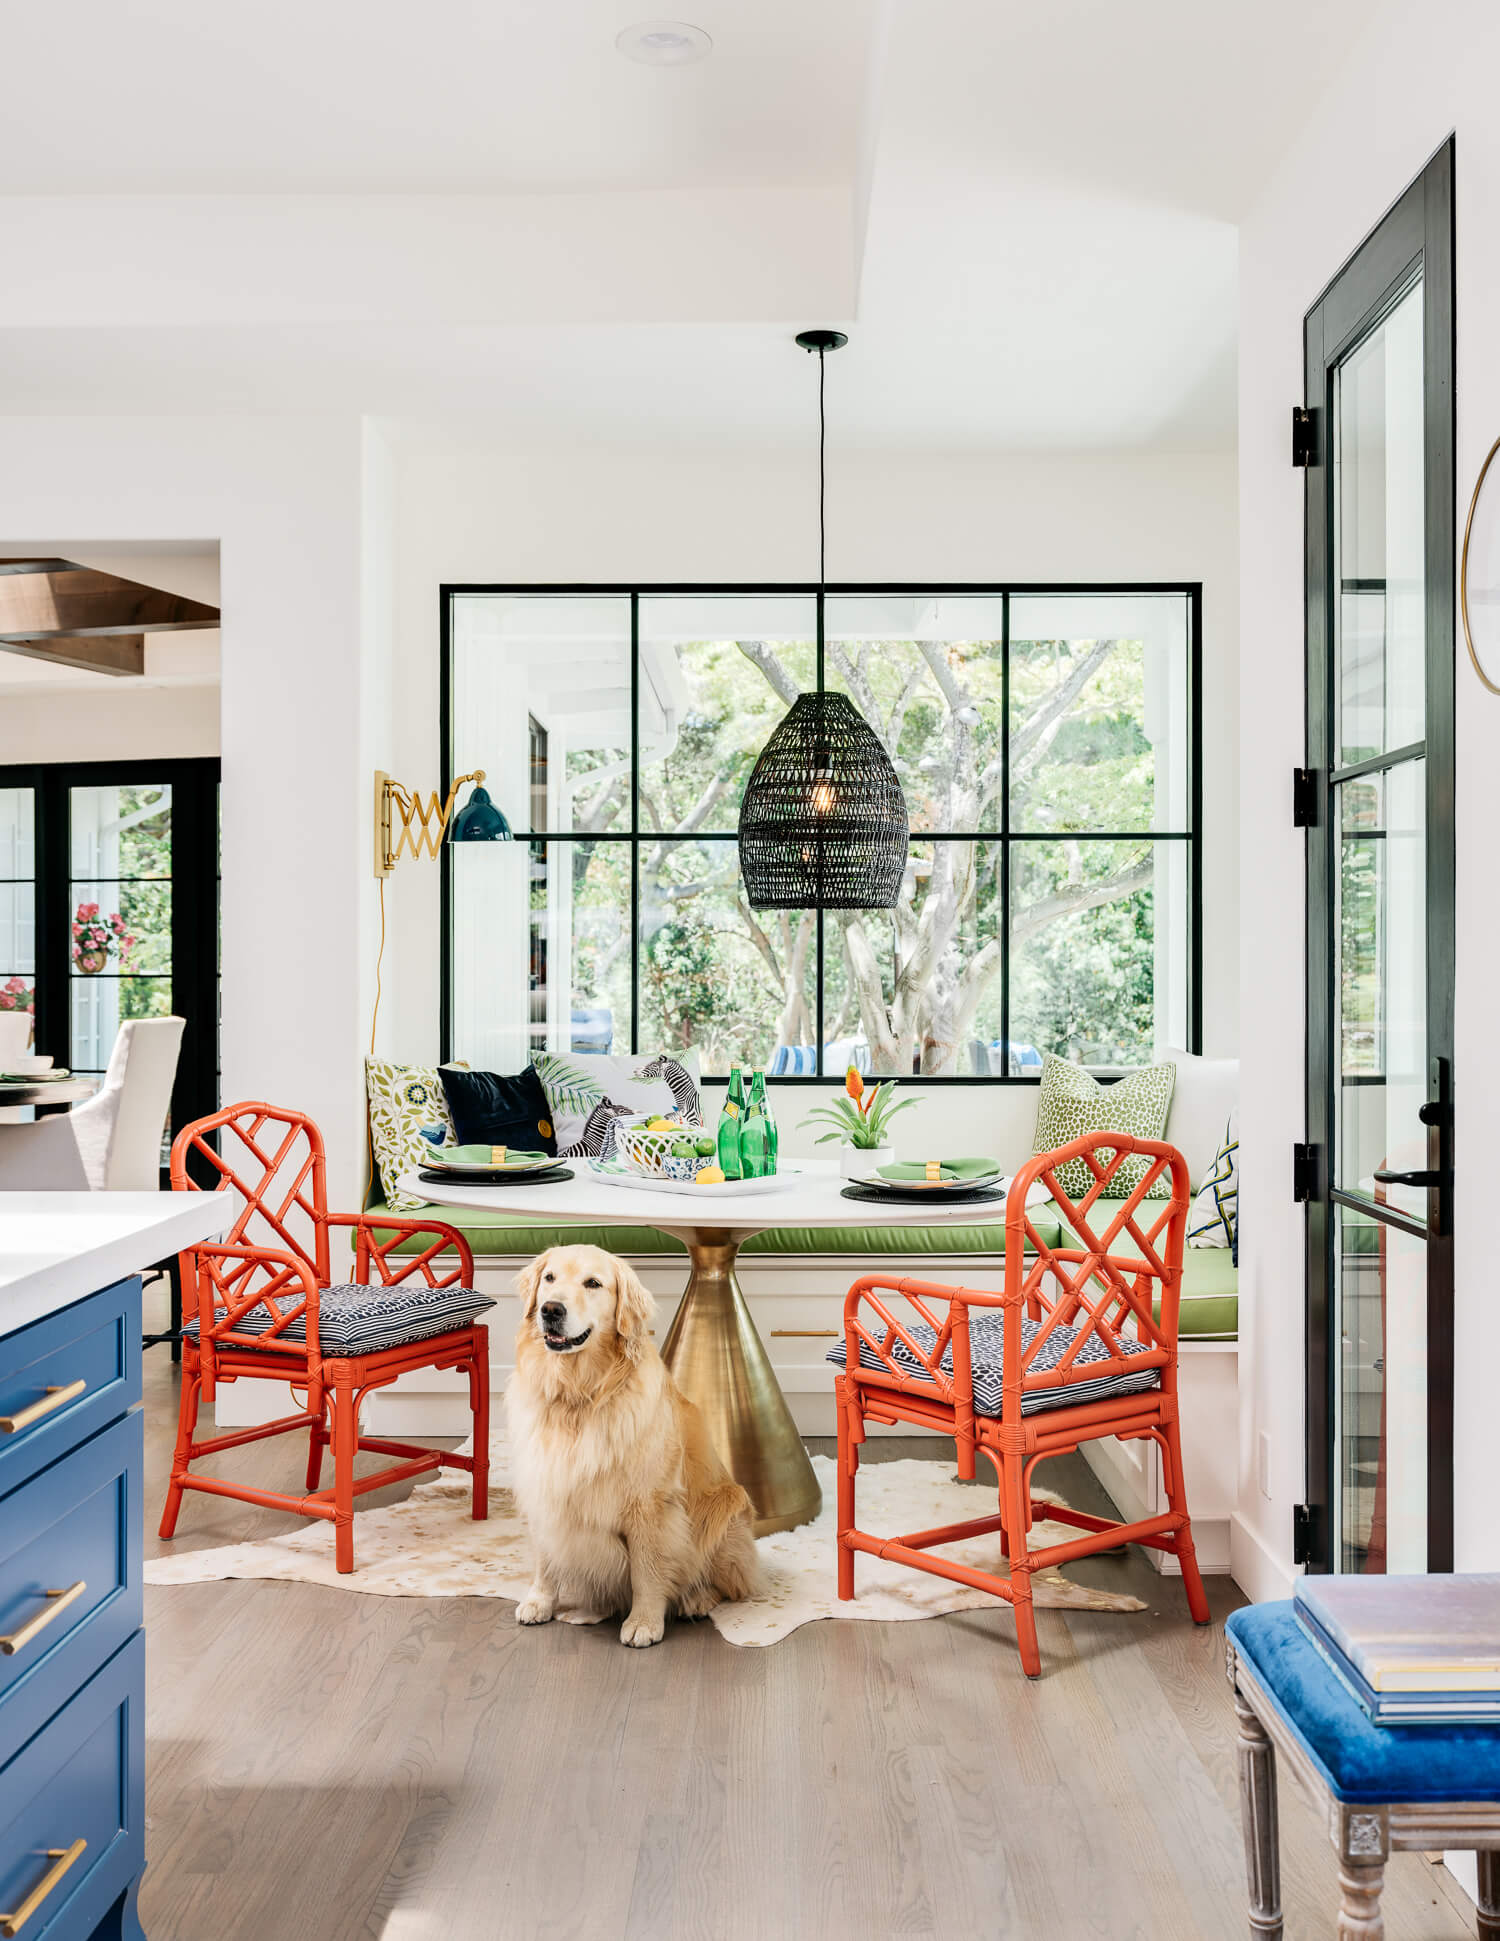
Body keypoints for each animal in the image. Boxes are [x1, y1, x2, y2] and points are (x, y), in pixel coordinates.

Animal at [504, 1250, 760, 1645]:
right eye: (549, 1278)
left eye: (593, 1283)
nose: (550, 1309)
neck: (577, 1395)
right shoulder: (545, 1485)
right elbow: (545, 1557)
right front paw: (539, 1602)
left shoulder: (649, 1504)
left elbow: (647, 1569)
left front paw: (644, 1622)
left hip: (726, 1509)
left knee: (729, 1583)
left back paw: (696, 1599)